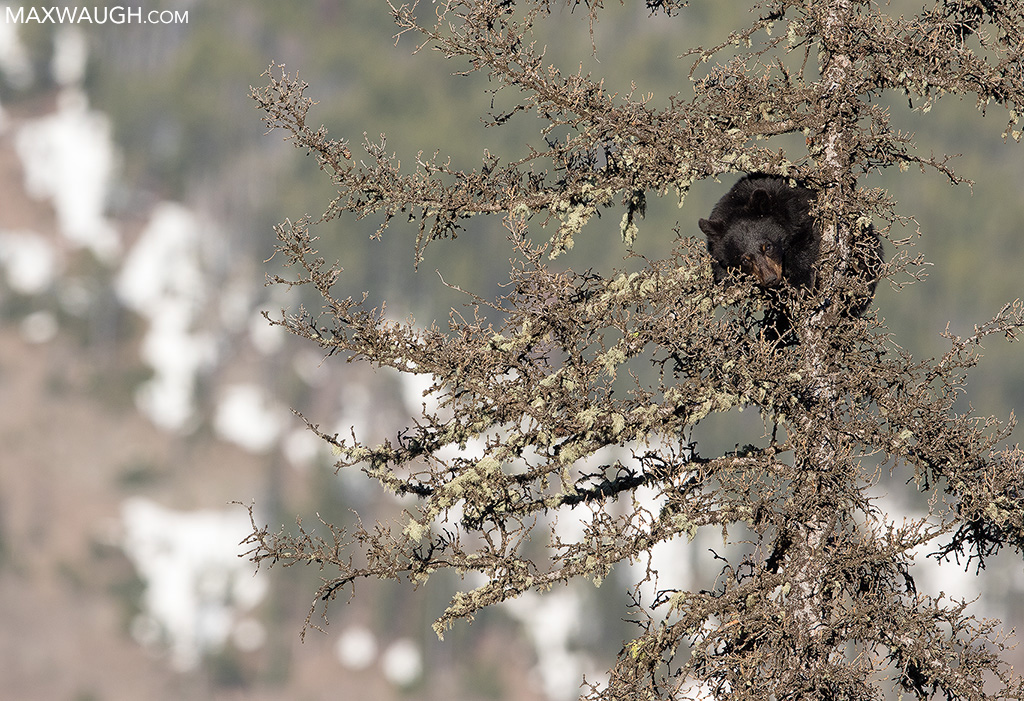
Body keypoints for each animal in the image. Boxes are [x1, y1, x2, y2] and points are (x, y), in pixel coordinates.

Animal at [698, 173, 881, 325]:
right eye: (744, 259)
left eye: (768, 246)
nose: (770, 279)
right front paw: (726, 280)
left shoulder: (798, 210)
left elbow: (805, 242)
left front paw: (800, 285)